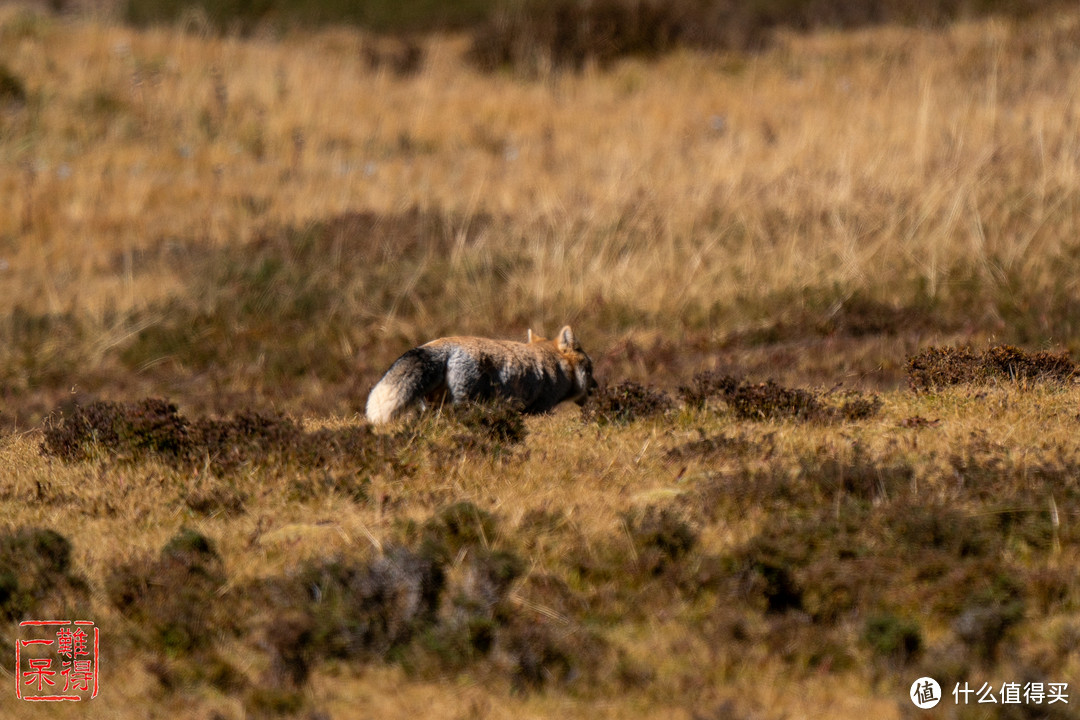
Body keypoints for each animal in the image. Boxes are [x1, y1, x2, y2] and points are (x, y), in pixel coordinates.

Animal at [367, 325, 596, 423]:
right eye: (591, 369)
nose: (597, 388)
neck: (556, 365)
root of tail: (440, 345)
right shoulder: (539, 409)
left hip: (433, 407)